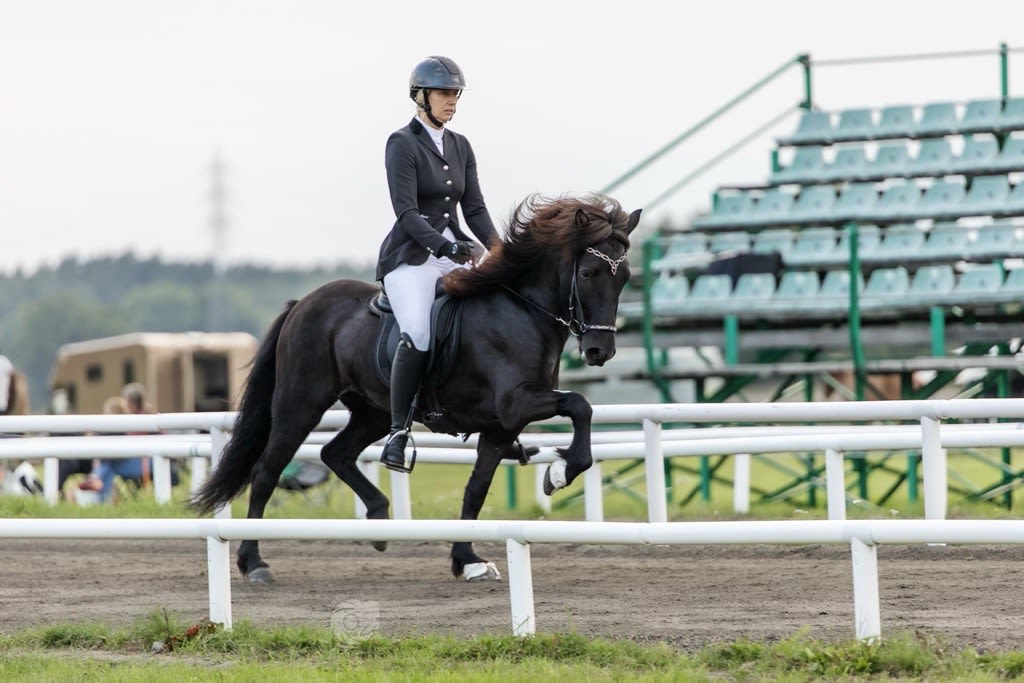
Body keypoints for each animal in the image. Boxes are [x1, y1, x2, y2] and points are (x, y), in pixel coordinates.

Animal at [190, 194, 638, 585]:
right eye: (588, 274)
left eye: (625, 277)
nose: (600, 351)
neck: (523, 310)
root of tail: (303, 303)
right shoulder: (517, 404)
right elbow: (580, 405)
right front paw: (560, 472)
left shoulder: (500, 427)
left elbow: (476, 489)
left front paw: (467, 560)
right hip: (300, 405)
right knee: (267, 471)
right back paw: (254, 562)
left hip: (372, 411)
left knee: (336, 453)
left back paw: (378, 520)